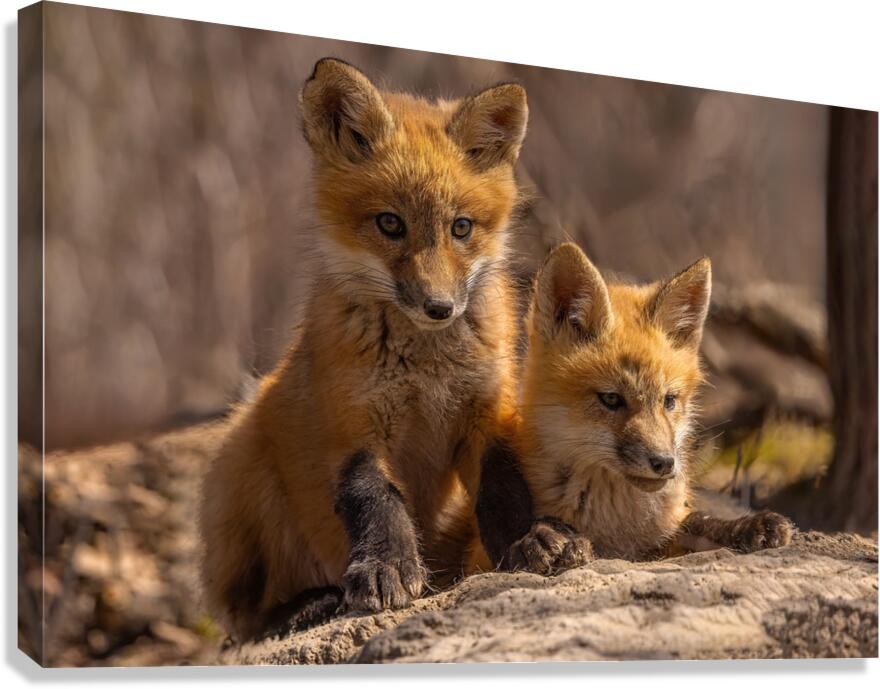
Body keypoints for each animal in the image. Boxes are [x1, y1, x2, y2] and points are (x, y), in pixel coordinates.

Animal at [198, 58, 528, 640]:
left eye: (461, 227)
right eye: (390, 223)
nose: (440, 307)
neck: (426, 371)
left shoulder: (488, 413)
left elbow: (503, 489)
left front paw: (532, 542)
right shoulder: (353, 426)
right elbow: (377, 500)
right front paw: (386, 569)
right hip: (241, 463)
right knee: (243, 620)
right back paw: (307, 606)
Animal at [475, 243, 793, 573]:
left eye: (669, 400)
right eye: (611, 399)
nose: (664, 462)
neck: (615, 523)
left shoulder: (664, 537)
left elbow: (696, 523)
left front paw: (744, 527)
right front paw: (538, 542)